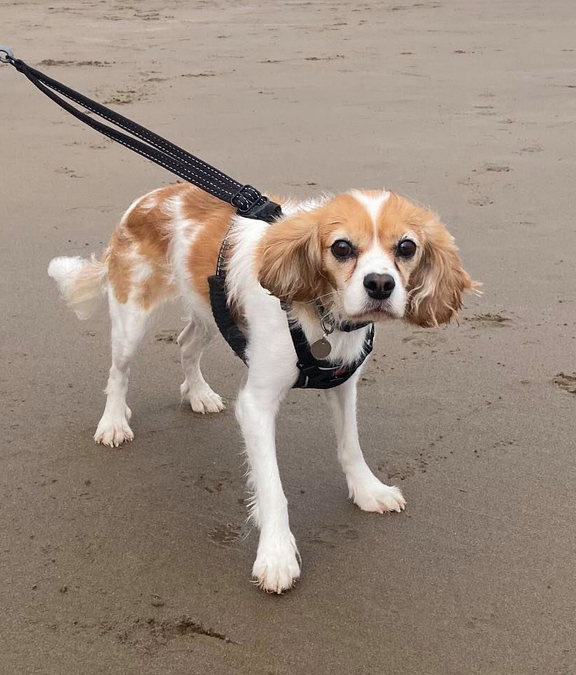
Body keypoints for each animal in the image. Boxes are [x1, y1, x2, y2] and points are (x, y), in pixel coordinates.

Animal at [49, 185, 474, 592]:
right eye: (341, 247)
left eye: (407, 247)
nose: (381, 284)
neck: (321, 311)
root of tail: (147, 199)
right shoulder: (256, 404)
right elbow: (272, 487)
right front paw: (277, 555)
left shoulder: (343, 381)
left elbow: (350, 445)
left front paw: (368, 490)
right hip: (132, 317)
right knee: (118, 372)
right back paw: (113, 422)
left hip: (208, 310)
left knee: (185, 344)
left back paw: (198, 394)